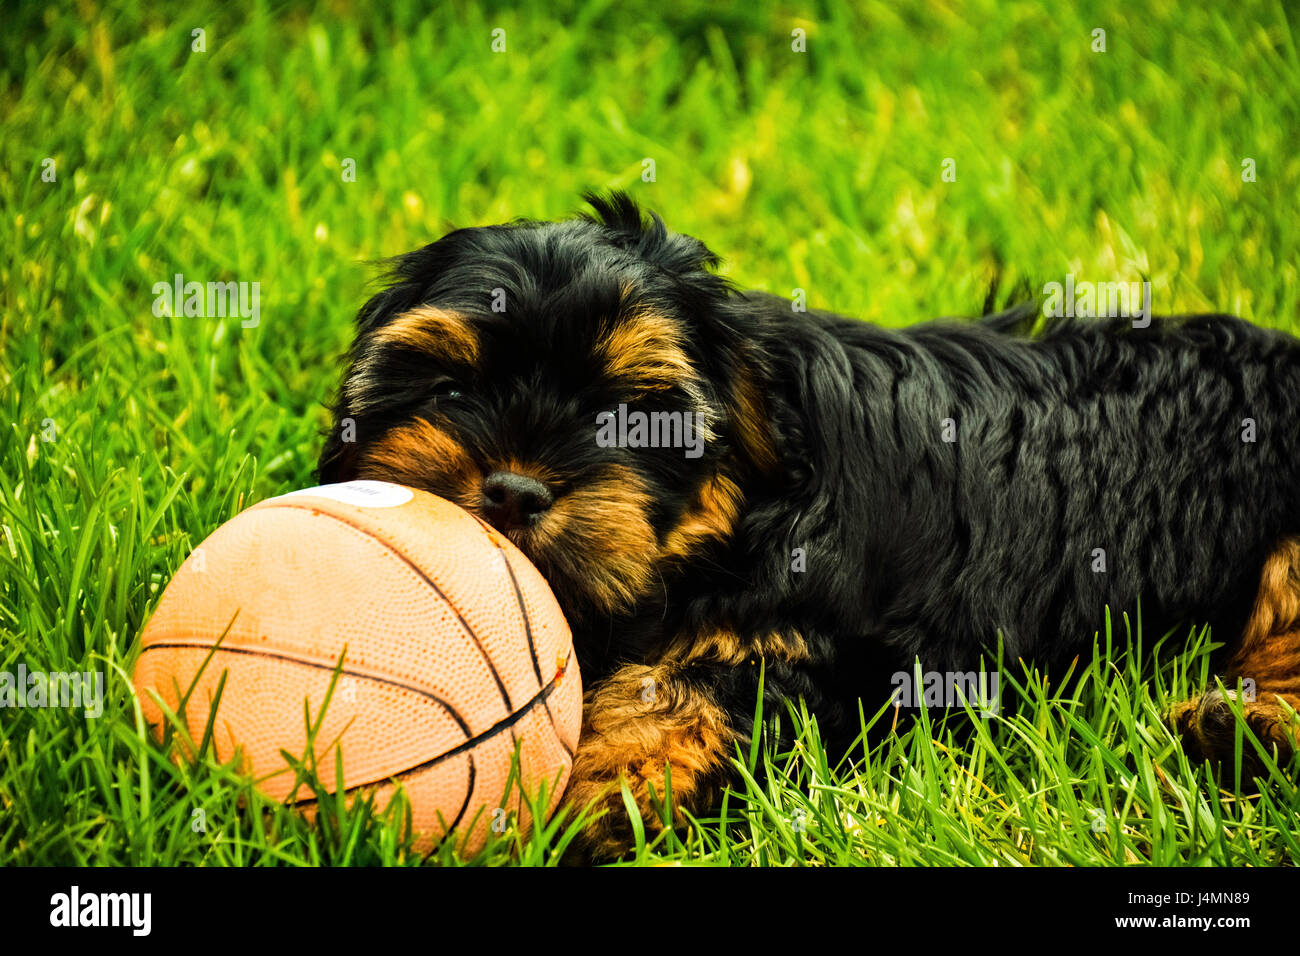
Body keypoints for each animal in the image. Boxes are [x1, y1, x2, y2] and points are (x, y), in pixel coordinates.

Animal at [319, 192, 1300, 858]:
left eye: (627, 419)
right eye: (452, 391)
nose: (515, 490)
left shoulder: (821, 643)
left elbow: (682, 689)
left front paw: (595, 800)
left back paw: (1243, 731)